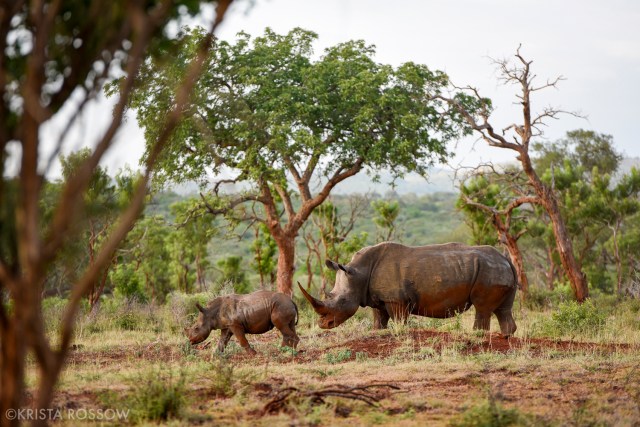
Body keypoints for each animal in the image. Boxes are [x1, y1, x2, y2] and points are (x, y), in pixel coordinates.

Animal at [299, 242, 518, 336]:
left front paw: (400, 333)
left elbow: (398, 321)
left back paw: (478, 336)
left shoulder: (396, 300)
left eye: (342, 301)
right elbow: (379, 320)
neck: (358, 273)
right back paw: (505, 338)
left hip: (489, 271)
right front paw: (378, 332)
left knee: (483, 309)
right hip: (499, 269)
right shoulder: (378, 299)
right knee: (503, 309)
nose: (323, 325)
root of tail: (505, 258)